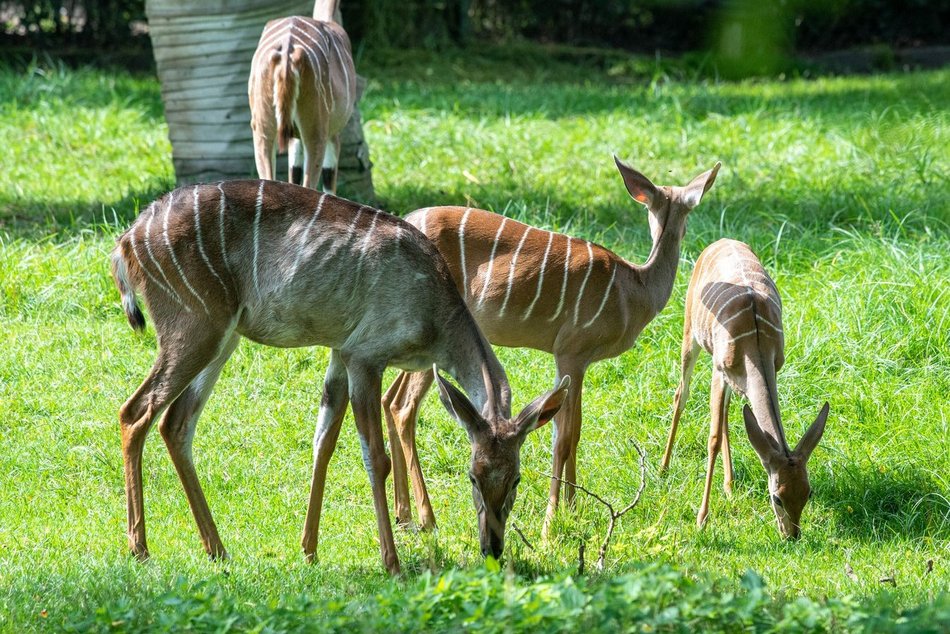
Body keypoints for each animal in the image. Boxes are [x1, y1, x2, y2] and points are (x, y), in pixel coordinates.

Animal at [111, 179, 572, 572]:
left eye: (516, 477)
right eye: (471, 475)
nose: (491, 548)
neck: (435, 317)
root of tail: (126, 243)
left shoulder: (338, 351)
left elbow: (324, 441)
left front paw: (309, 549)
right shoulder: (365, 354)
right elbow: (374, 457)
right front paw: (392, 563)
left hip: (221, 334)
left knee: (176, 422)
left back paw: (217, 548)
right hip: (194, 322)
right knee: (135, 412)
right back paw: (140, 548)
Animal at [249, 2, 356, 190]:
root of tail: (287, 54)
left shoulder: (294, 136)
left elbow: (294, 173)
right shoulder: (333, 133)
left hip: (263, 129)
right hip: (316, 131)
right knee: (310, 183)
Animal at [384, 156, 724, 532]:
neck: (634, 289)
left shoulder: (581, 361)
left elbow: (573, 431)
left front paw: (574, 508)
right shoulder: (570, 352)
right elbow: (563, 437)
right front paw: (552, 521)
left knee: (389, 398)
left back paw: (402, 513)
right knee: (403, 407)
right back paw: (426, 518)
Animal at [660, 239, 832, 536]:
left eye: (808, 493)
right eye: (777, 497)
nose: (792, 535)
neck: (756, 341)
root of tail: (719, 241)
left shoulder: (768, 369)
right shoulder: (719, 369)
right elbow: (713, 439)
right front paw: (702, 519)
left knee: (728, 413)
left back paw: (729, 486)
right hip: (690, 333)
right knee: (681, 394)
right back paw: (663, 469)